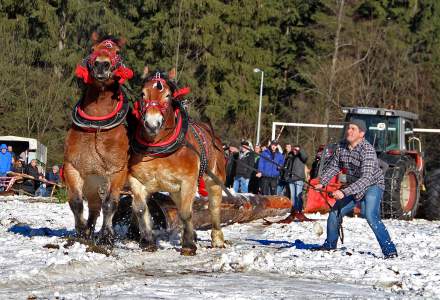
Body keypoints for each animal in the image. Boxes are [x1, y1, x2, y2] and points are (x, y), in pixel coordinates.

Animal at [62, 33, 132, 244]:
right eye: (92, 49)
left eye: (117, 52)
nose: (101, 64)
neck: (96, 127)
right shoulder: (73, 168)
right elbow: (76, 202)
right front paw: (81, 231)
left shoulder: (117, 172)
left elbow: (111, 204)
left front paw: (106, 235)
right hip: (93, 184)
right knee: (94, 207)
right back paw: (89, 230)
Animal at [128, 68, 225, 255]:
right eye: (143, 94)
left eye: (167, 95)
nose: (151, 124)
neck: (158, 146)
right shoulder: (136, 180)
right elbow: (140, 209)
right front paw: (148, 241)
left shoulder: (188, 181)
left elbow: (186, 213)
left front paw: (188, 246)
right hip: (174, 190)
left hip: (214, 180)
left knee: (214, 207)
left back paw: (217, 239)